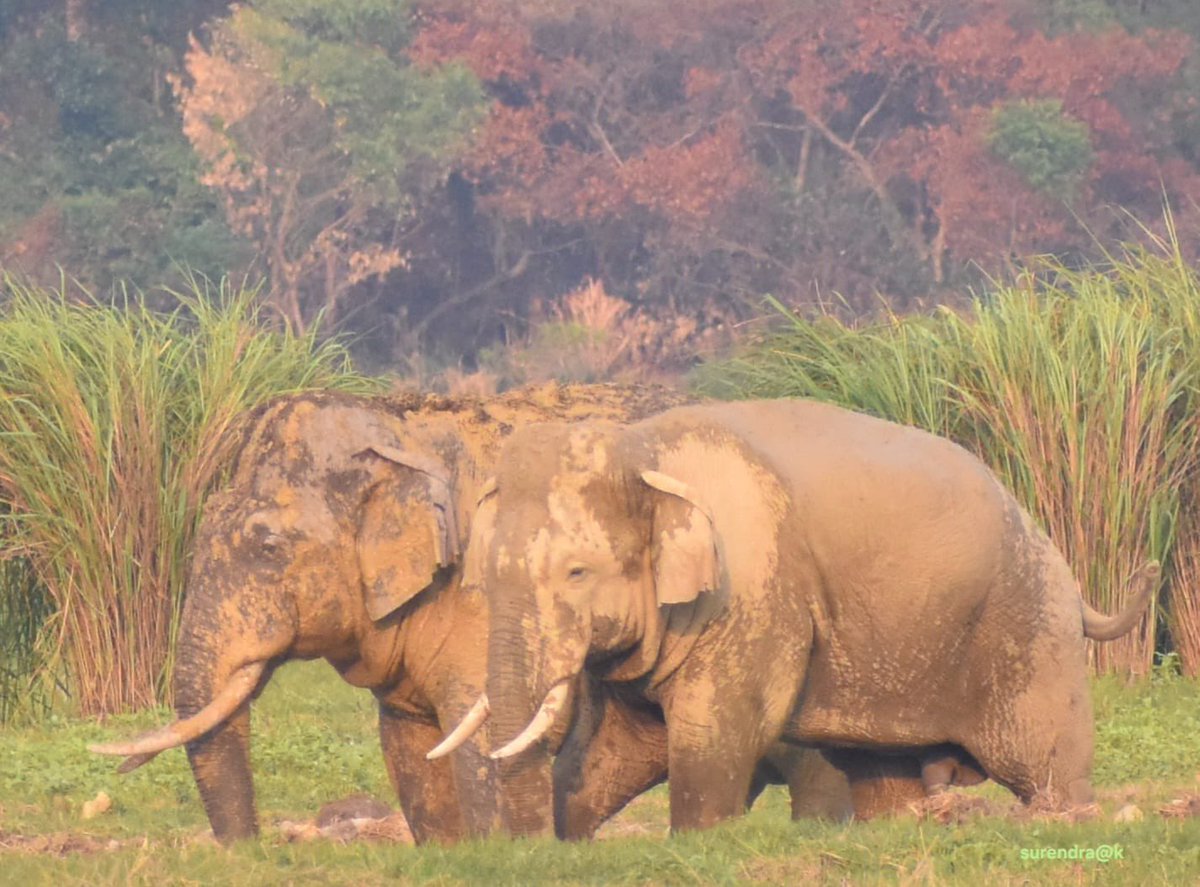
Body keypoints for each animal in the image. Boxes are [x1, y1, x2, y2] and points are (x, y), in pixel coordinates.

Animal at [436, 398, 1156, 835]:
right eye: (483, 575)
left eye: (577, 573)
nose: (529, 846)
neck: (641, 447)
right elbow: (612, 750)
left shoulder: (750, 594)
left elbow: (713, 734)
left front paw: (698, 841)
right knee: (884, 780)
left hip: (1029, 630)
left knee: (1046, 762)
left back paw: (1064, 820)